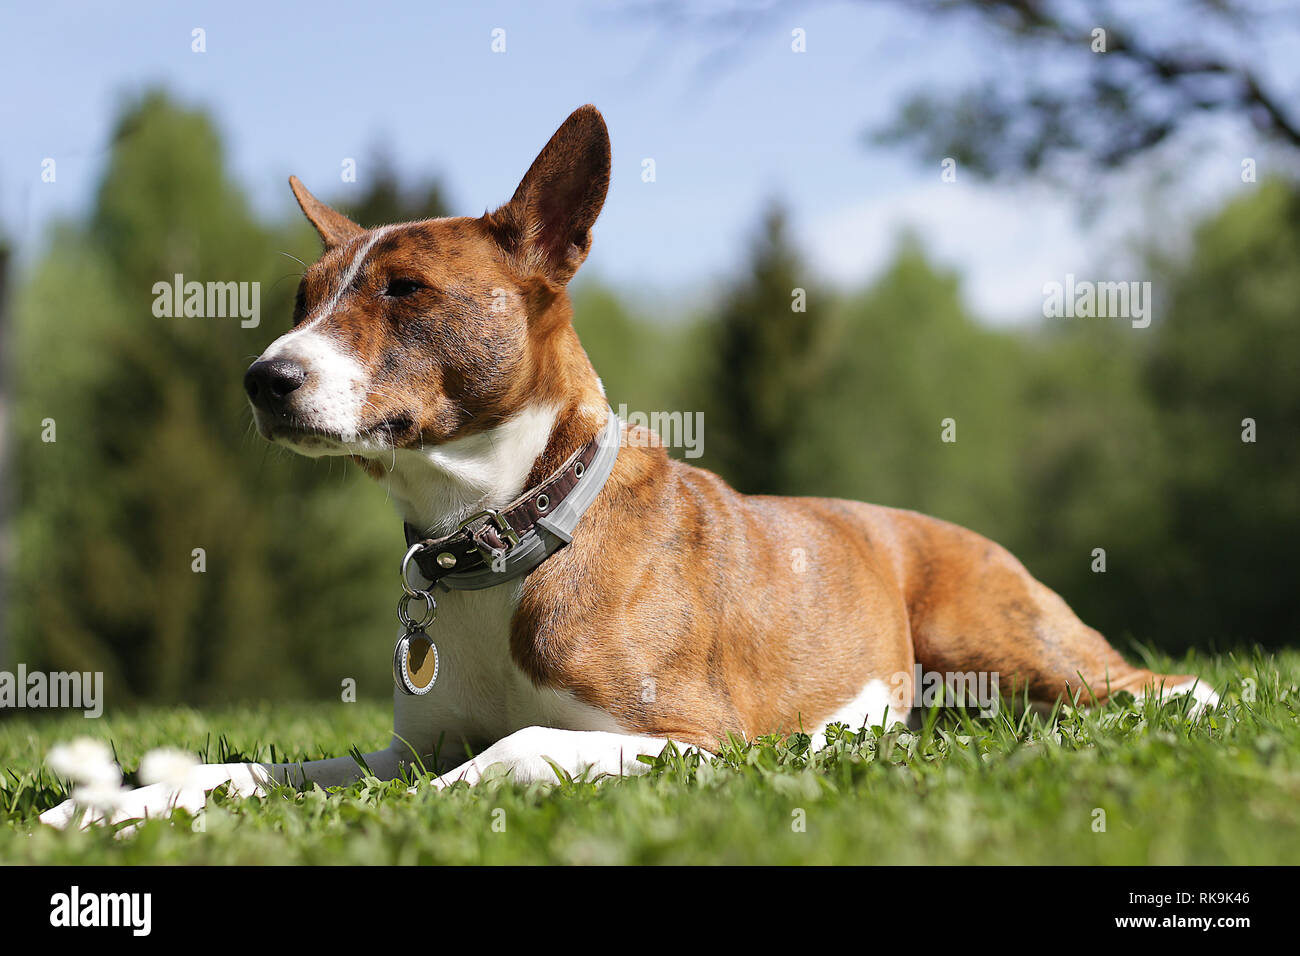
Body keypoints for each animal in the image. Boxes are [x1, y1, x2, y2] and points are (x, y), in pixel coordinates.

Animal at [40, 100, 1216, 827]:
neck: (504, 532)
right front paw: (115, 804)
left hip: (1003, 644)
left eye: (406, 291)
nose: (262, 378)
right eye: (301, 299)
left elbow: (508, 750)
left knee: (1159, 683)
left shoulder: (687, 739)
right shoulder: (398, 747)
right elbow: (250, 768)